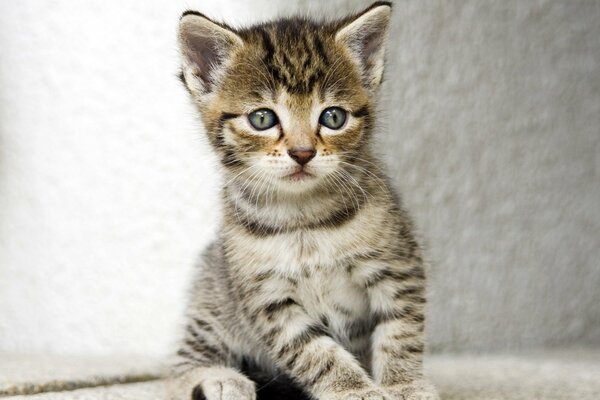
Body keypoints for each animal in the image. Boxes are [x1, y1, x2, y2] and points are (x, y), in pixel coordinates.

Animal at [169, 3, 436, 400]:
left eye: (333, 117)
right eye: (262, 118)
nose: (302, 152)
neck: (303, 218)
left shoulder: (398, 265)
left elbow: (400, 331)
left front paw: (404, 384)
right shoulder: (267, 300)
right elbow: (315, 351)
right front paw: (352, 389)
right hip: (212, 297)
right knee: (177, 369)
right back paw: (219, 378)